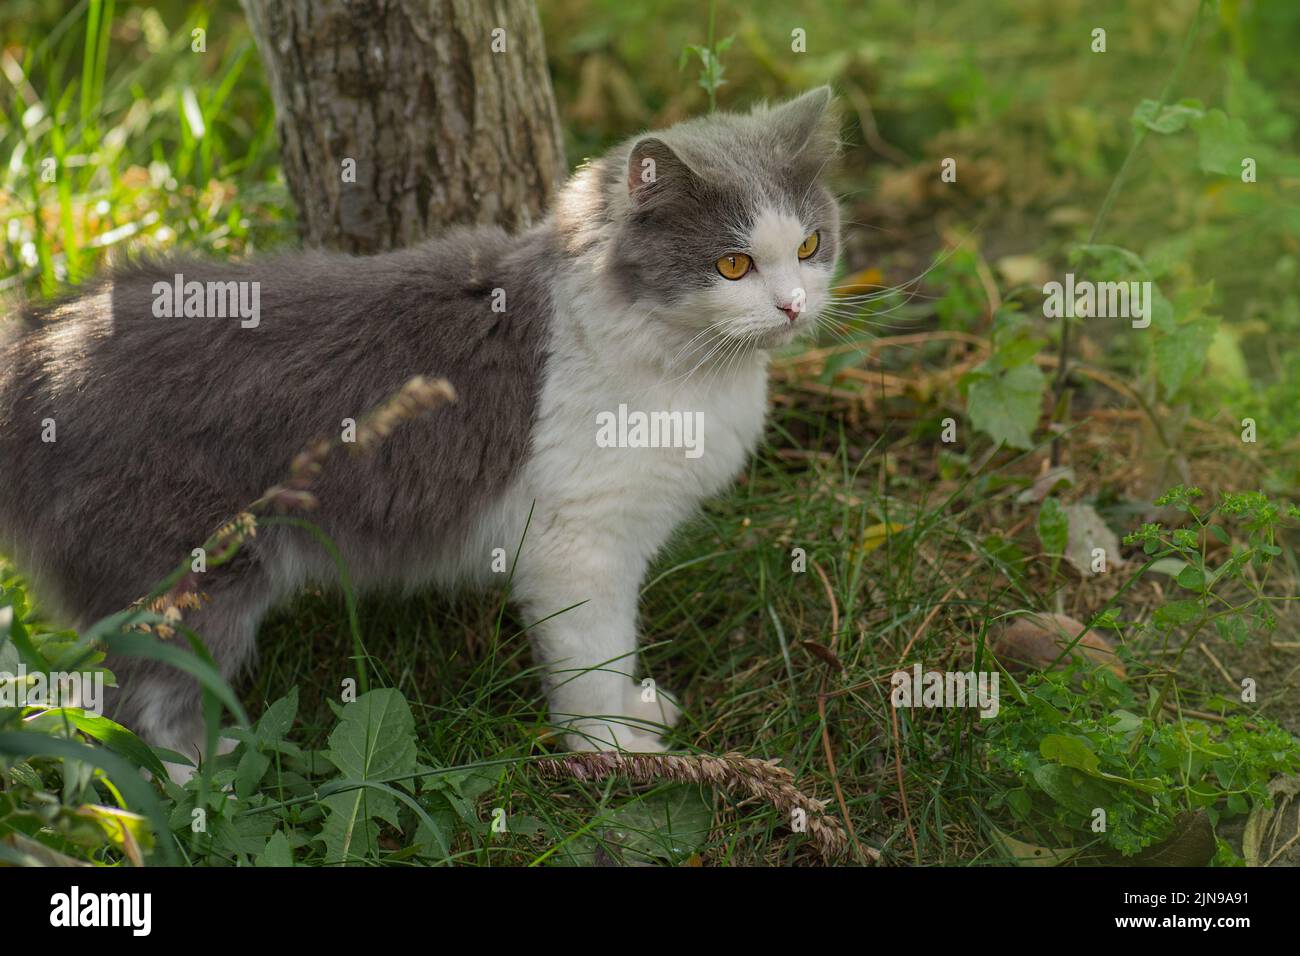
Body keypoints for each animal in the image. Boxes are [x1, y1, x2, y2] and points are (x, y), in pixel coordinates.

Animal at [2, 87, 842, 780]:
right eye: (732, 265)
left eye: (809, 246)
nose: (793, 307)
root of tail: (43, 340)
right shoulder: (581, 548)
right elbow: (593, 661)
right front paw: (615, 754)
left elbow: (615, 656)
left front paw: (637, 716)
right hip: (193, 577)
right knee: (135, 715)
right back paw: (210, 779)